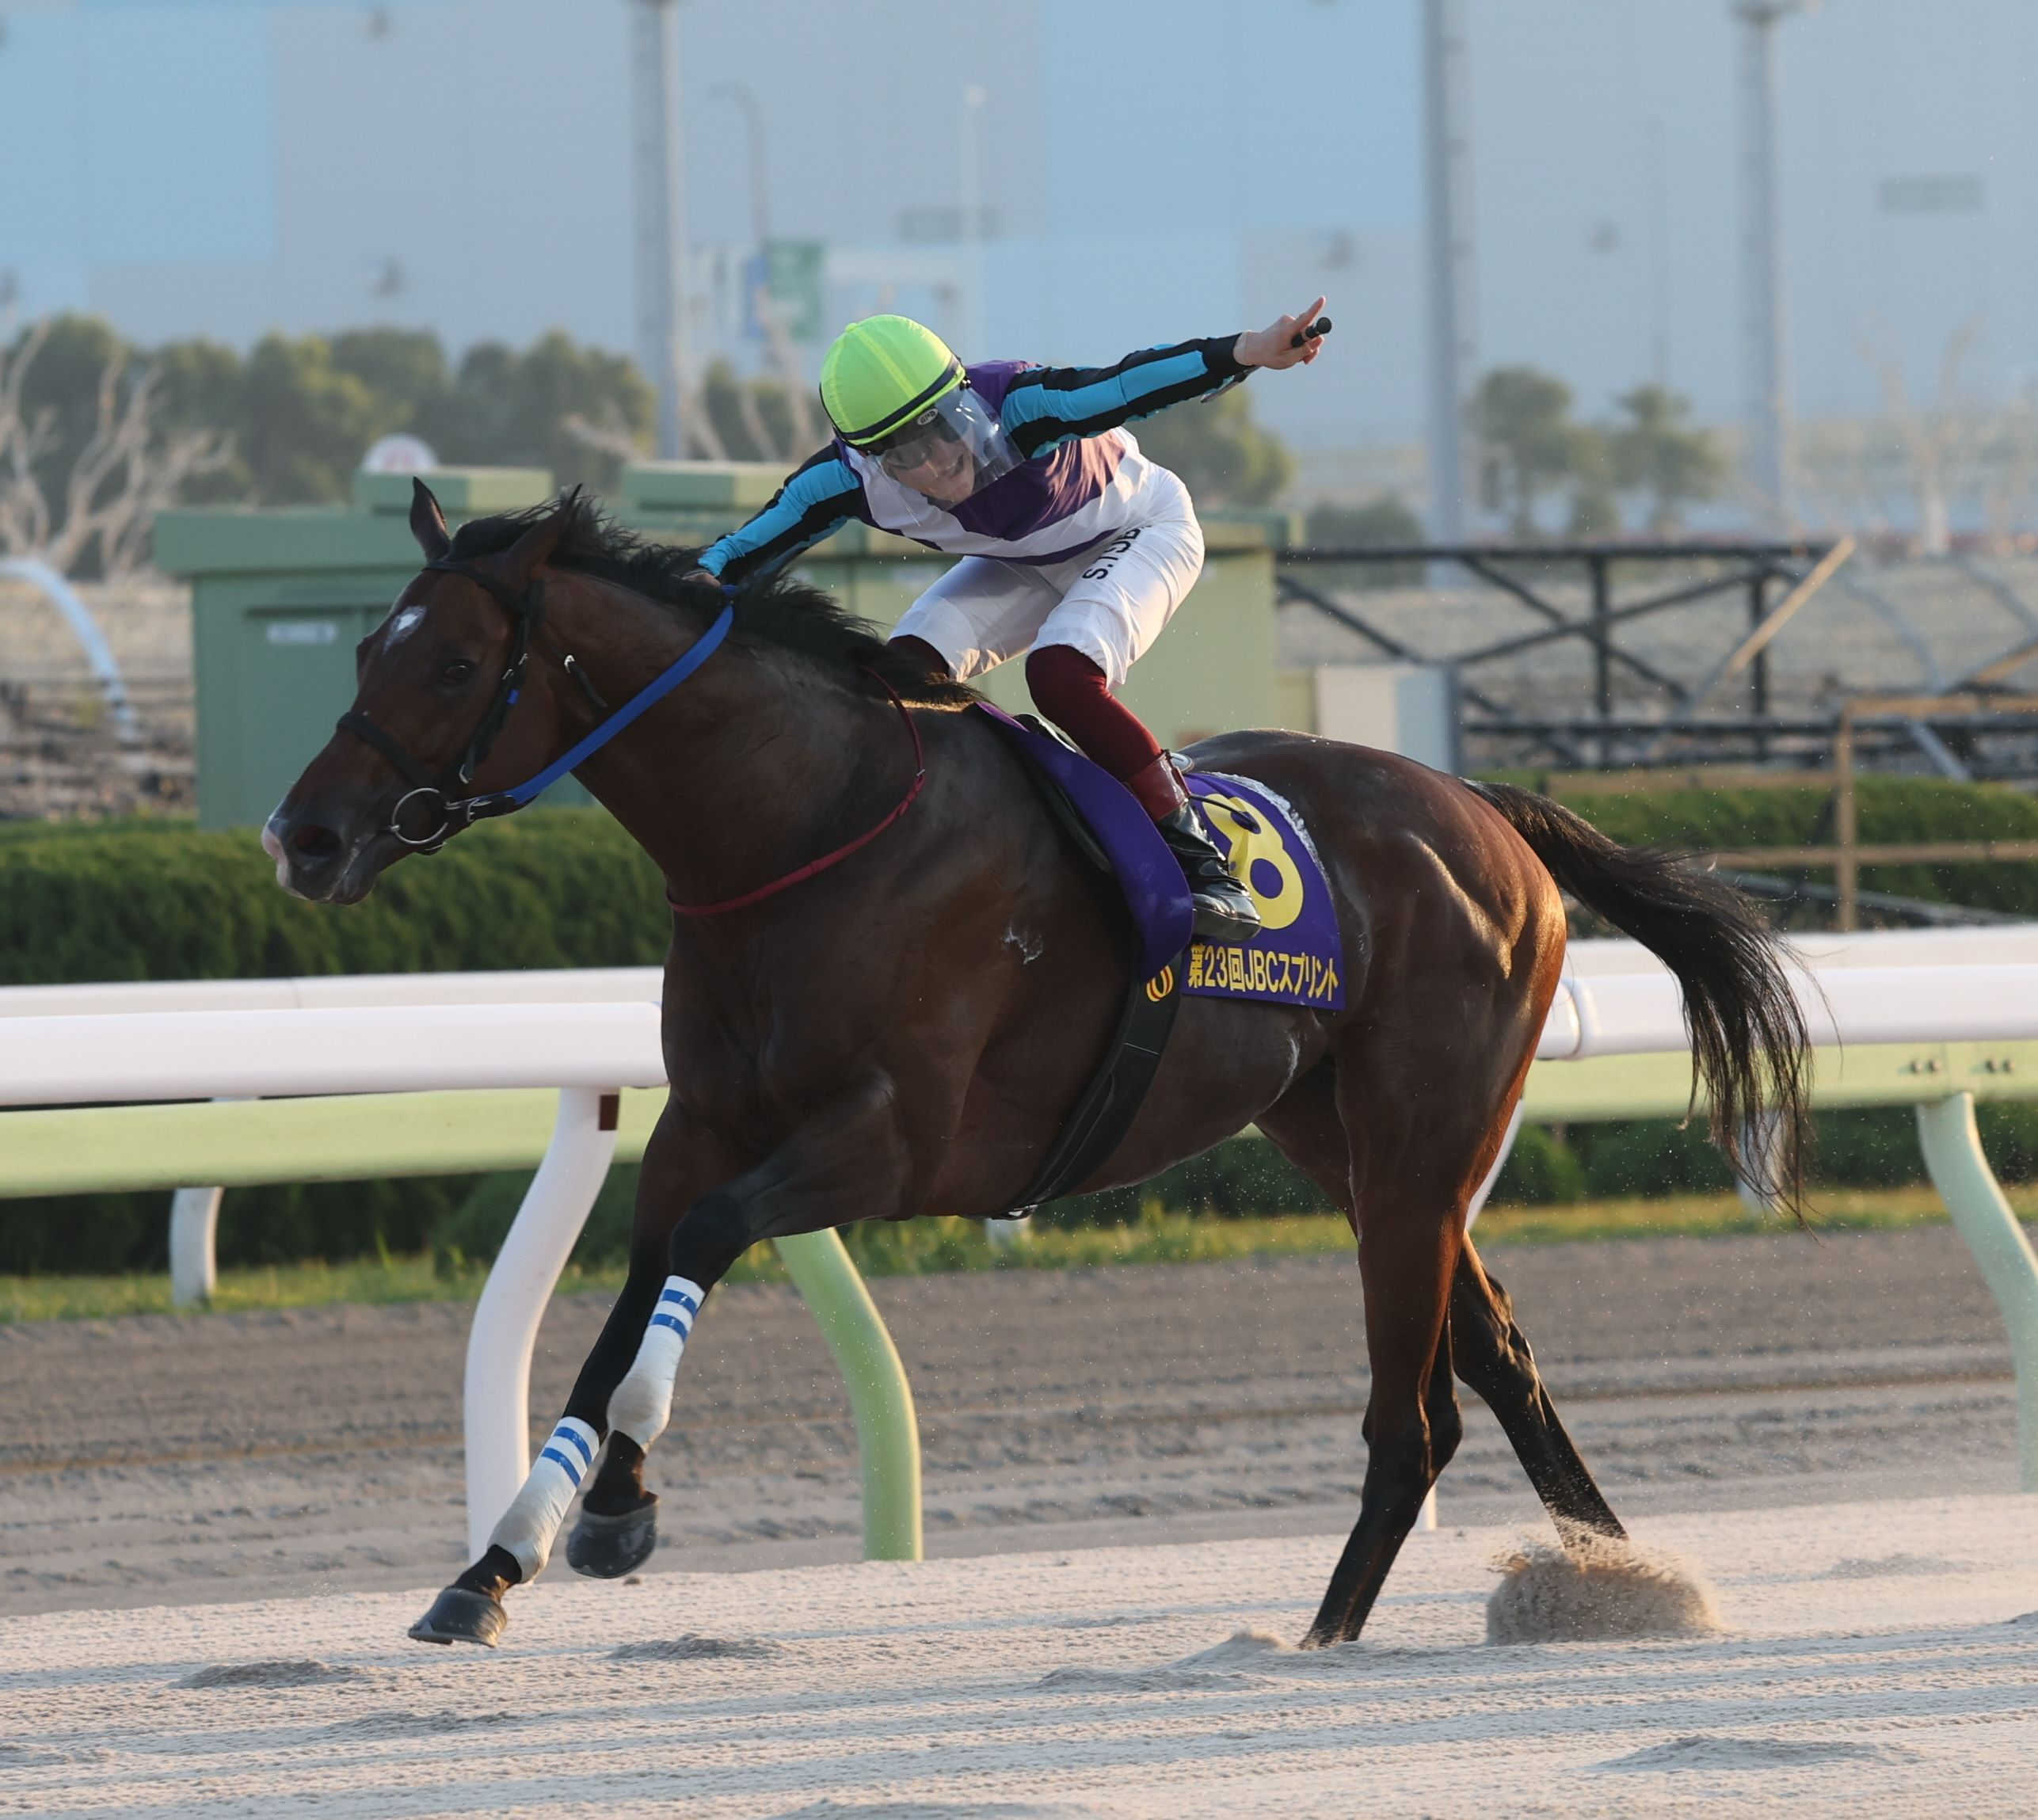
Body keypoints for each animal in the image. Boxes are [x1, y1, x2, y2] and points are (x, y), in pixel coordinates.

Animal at [262, 482, 1809, 1647]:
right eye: (364, 649)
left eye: (453, 664)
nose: (304, 835)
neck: (798, 828)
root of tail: (1479, 804)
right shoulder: (703, 1123)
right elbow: (618, 1313)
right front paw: (497, 1562)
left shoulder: (896, 1145)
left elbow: (696, 1251)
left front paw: (623, 1502)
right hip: (1340, 1134)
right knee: (1496, 1356)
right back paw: (1619, 1583)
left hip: (1426, 1130)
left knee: (1413, 1413)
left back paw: (1316, 1641)